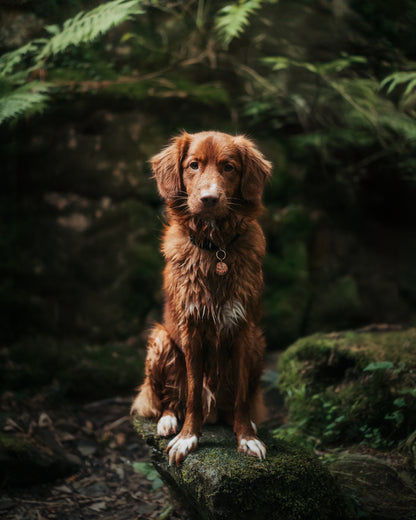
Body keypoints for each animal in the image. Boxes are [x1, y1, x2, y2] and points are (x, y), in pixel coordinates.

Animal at [132, 132, 272, 466]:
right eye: (193, 165)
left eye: (229, 167)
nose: (209, 198)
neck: (215, 248)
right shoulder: (191, 330)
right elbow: (193, 393)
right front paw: (187, 438)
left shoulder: (243, 331)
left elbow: (241, 397)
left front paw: (246, 437)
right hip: (161, 340)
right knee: (172, 398)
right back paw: (169, 420)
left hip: (259, 343)